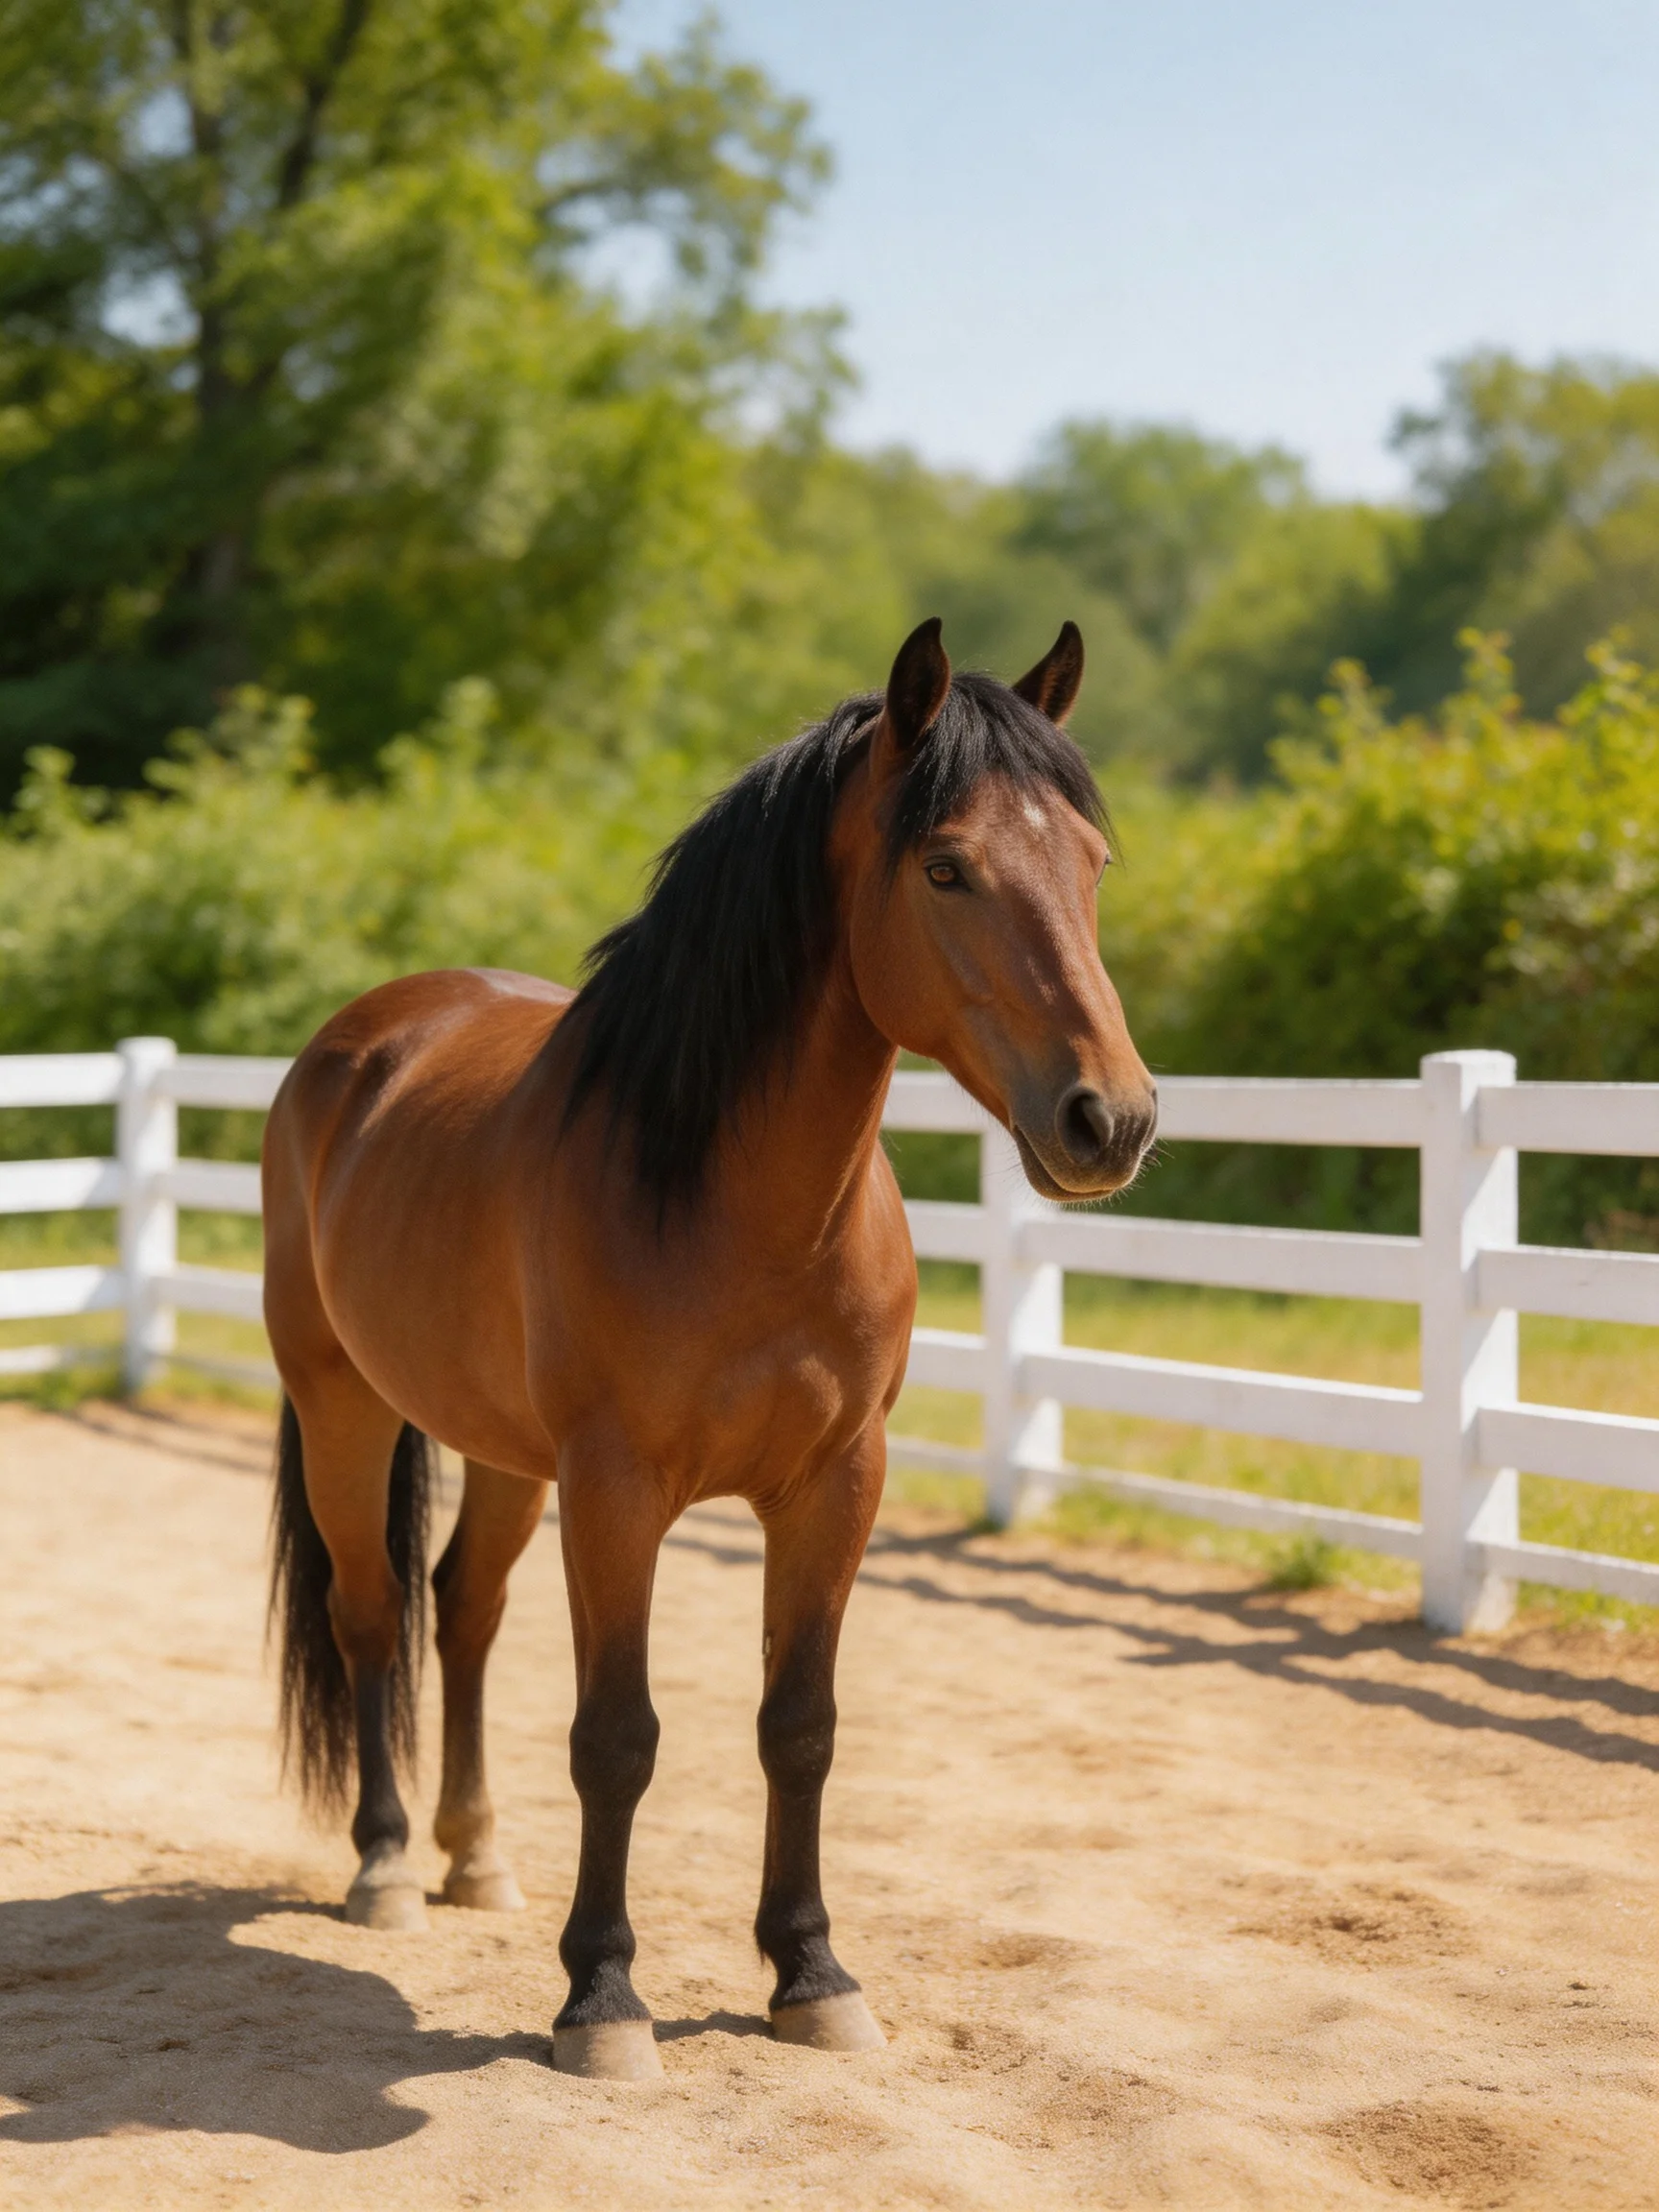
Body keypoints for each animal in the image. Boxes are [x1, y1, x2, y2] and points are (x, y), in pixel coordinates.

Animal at [261, 616, 1157, 2080]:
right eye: (947, 865)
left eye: (1091, 863)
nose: (1112, 1121)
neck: (736, 1205)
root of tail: (357, 1043)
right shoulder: (618, 1492)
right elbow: (617, 1737)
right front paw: (603, 1998)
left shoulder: (836, 1484)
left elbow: (800, 1728)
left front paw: (812, 1975)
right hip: (345, 1404)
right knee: (373, 1614)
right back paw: (388, 1867)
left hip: (502, 1451)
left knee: (463, 1608)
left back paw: (475, 1860)